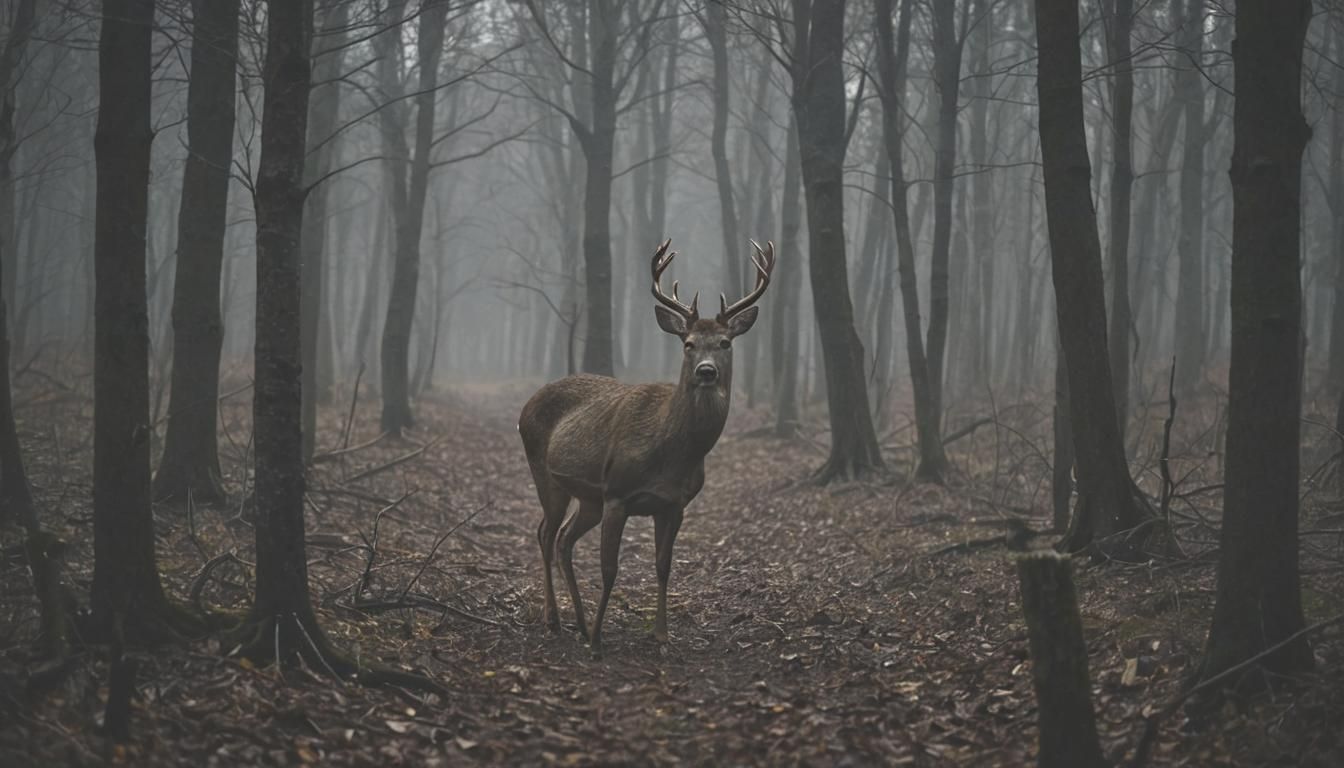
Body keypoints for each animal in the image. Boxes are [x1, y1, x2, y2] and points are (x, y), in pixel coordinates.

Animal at [518, 238, 776, 658]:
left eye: (724, 343)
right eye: (688, 343)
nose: (707, 371)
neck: (670, 453)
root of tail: (525, 406)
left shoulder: (674, 504)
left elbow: (663, 565)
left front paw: (661, 634)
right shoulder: (617, 493)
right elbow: (609, 569)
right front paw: (598, 642)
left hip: (587, 498)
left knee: (564, 539)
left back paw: (578, 621)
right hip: (545, 473)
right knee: (545, 532)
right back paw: (555, 620)